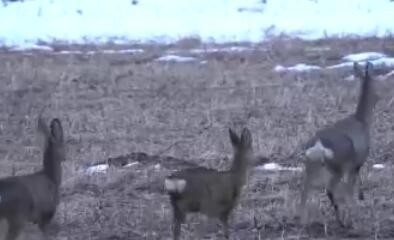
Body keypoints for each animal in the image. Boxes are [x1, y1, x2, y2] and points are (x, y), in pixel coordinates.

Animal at [302, 61, 378, 227]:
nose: (377, 97)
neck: (361, 121)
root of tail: (318, 145)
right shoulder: (357, 161)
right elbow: (353, 185)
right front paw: (358, 202)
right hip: (339, 165)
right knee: (334, 190)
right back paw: (346, 220)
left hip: (310, 166)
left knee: (305, 191)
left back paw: (305, 220)